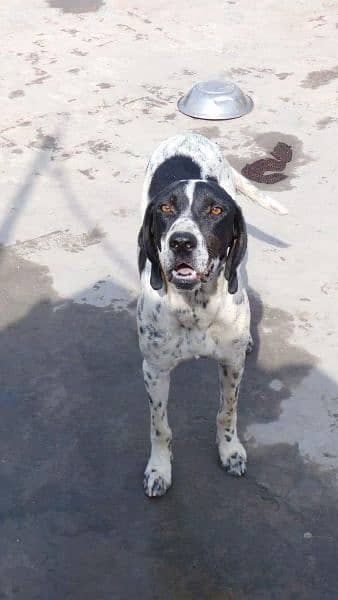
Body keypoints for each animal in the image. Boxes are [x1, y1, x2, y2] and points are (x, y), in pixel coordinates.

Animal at [137, 135, 286, 496]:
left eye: (216, 210)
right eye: (166, 208)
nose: (181, 242)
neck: (195, 306)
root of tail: (188, 134)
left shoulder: (231, 365)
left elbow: (227, 413)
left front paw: (230, 450)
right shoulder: (154, 371)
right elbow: (160, 427)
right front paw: (159, 468)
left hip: (242, 265)